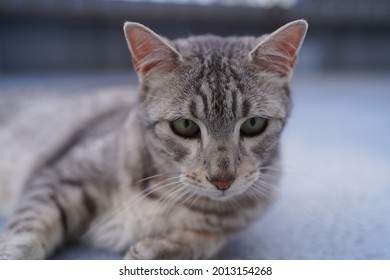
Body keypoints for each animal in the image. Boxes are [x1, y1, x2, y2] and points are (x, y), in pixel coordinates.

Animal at [0, 19, 306, 260]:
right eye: (185, 125)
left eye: (253, 124)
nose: (223, 181)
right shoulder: (57, 178)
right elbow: (26, 230)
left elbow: (209, 241)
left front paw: (155, 249)